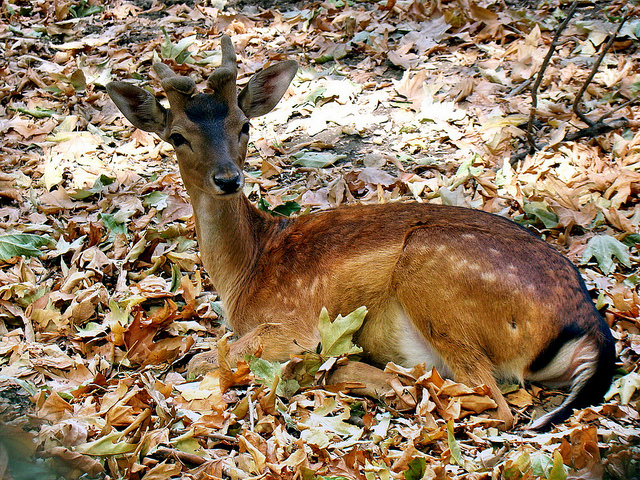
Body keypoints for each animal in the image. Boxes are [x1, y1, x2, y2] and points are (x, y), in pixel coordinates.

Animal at [107, 34, 616, 432]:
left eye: (244, 124)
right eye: (177, 135)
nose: (228, 179)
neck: (245, 272)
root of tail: (590, 328)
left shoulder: (288, 322)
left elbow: (207, 357)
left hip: (432, 273)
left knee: (489, 398)